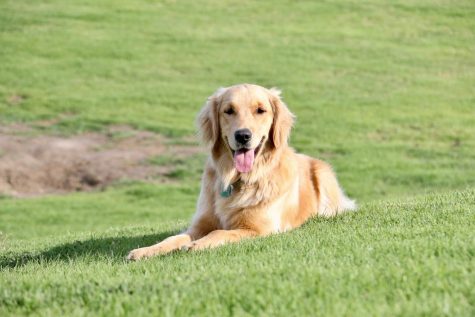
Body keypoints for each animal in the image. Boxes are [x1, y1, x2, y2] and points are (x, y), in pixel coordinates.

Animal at [127, 84, 356, 260]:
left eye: (260, 110)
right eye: (228, 110)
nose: (243, 135)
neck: (236, 179)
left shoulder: (259, 229)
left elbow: (221, 232)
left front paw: (197, 245)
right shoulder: (199, 225)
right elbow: (173, 238)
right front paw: (145, 250)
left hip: (324, 177)